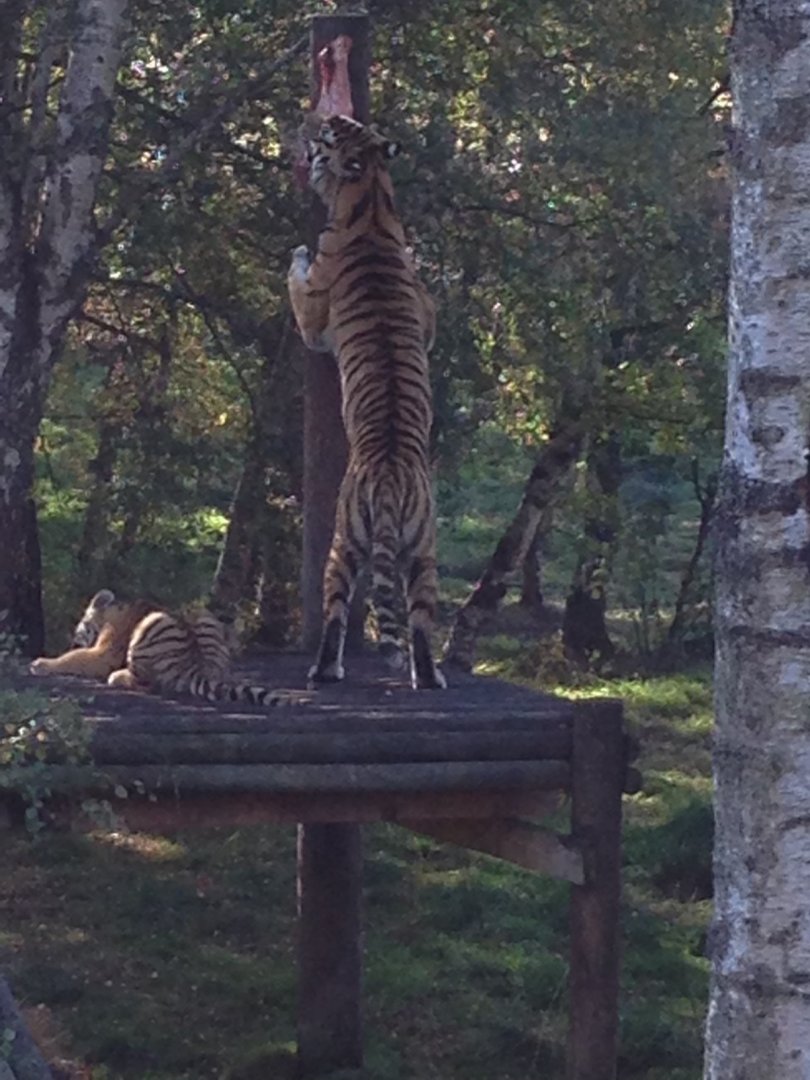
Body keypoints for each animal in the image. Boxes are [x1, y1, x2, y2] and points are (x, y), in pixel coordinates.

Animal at [29, 589, 293, 706]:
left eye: (79, 629)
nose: (74, 639)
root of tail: (197, 667)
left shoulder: (103, 653)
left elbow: (74, 658)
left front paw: (41, 663)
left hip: (151, 626)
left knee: (147, 683)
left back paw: (118, 676)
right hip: (202, 615)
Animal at [287, 114, 445, 691]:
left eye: (330, 133)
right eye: (347, 124)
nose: (310, 123)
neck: (372, 201)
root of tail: (392, 475)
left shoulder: (313, 319)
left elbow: (298, 280)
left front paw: (298, 251)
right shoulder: (427, 315)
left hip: (343, 542)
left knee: (335, 611)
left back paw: (323, 670)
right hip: (424, 552)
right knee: (420, 623)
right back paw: (430, 679)